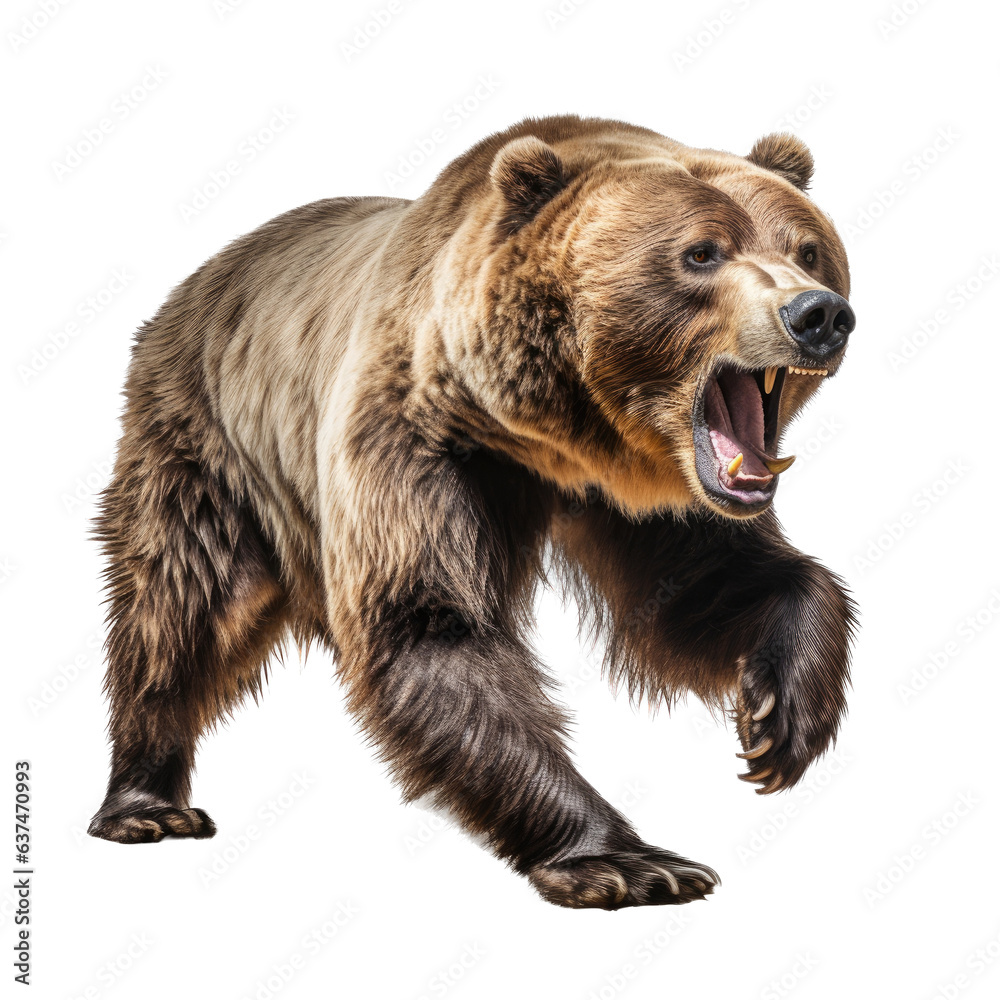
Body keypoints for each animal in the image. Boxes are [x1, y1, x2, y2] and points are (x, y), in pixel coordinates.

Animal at [87, 114, 857, 910]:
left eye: (807, 249)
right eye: (702, 252)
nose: (818, 313)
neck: (554, 437)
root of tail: (199, 278)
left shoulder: (656, 494)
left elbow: (702, 588)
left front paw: (779, 718)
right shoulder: (416, 438)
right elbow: (429, 623)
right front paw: (629, 862)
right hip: (203, 437)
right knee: (184, 606)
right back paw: (147, 804)